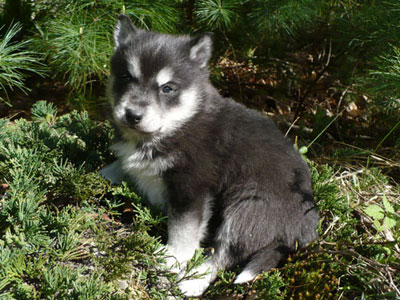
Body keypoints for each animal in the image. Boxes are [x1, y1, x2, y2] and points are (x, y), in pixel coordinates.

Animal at [100, 15, 318, 296]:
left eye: (167, 88)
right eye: (126, 76)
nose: (132, 115)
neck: (178, 125)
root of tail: (304, 230)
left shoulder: (192, 188)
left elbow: (183, 229)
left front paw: (173, 256)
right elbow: (124, 164)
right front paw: (106, 171)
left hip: (247, 208)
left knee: (224, 255)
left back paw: (192, 282)